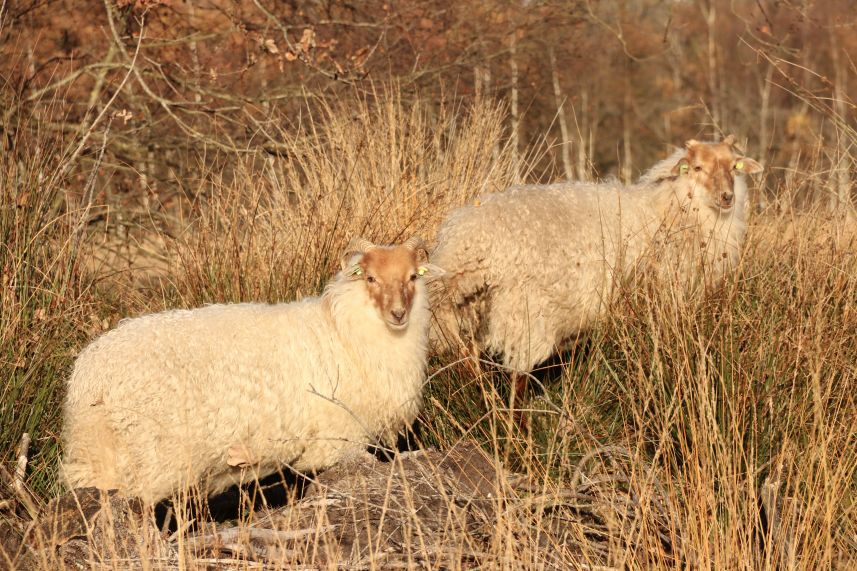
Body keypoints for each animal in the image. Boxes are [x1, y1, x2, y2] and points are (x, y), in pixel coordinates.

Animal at [62, 237, 438, 504]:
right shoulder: (336, 439)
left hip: (100, 454)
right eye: (371, 278)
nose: (398, 313)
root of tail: (90, 376)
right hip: (149, 456)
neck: (342, 329)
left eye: (412, 277)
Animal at [434, 136, 764, 382]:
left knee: (466, 362)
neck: (668, 208)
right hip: (523, 312)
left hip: (471, 314)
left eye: (734, 166)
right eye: (697, 167)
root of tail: (462, 245)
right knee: (516, 375)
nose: (727, 197)